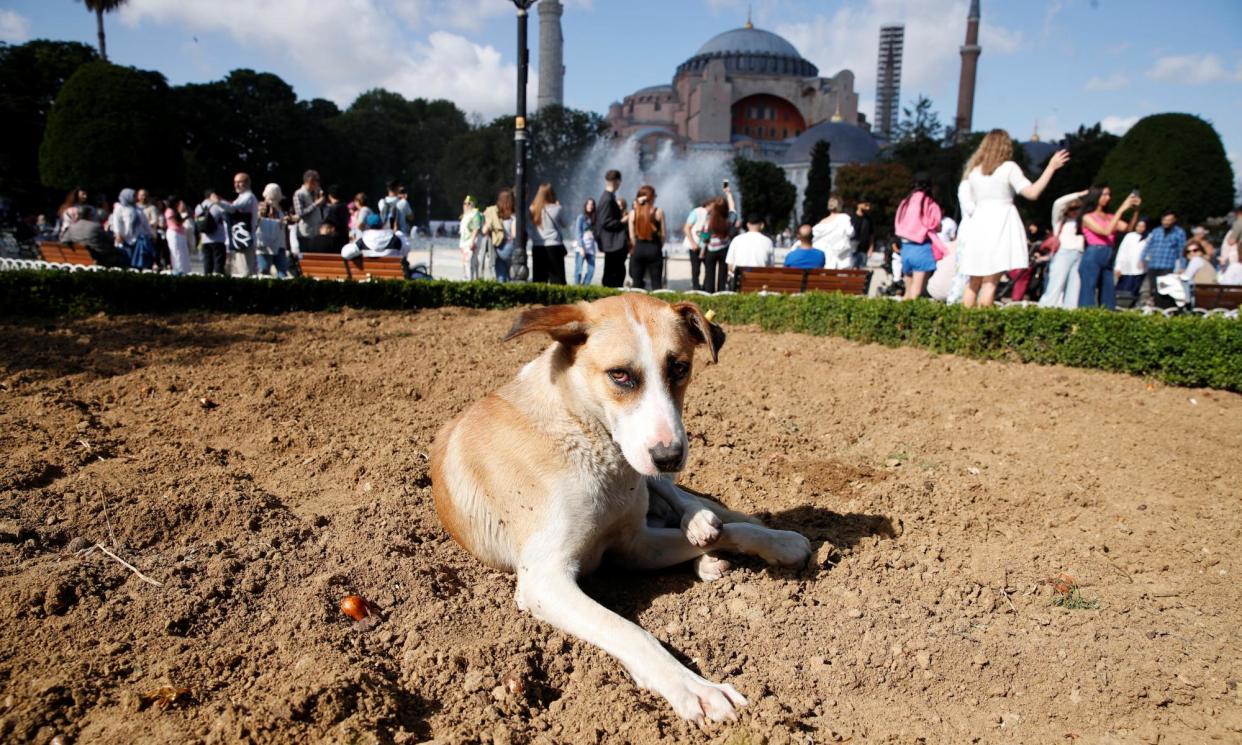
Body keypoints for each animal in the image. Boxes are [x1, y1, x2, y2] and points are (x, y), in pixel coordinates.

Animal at [429, 295, 814, 720]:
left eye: (680, 368)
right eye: (620, 375)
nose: (669, 456)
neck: (585, 433)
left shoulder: (633, 544)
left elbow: (731, 527)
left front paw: (778, 541)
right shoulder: (548, 578)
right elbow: (630, 631)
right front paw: (696, 688)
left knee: (696, 505)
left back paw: (717, 527)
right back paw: (706, 554)